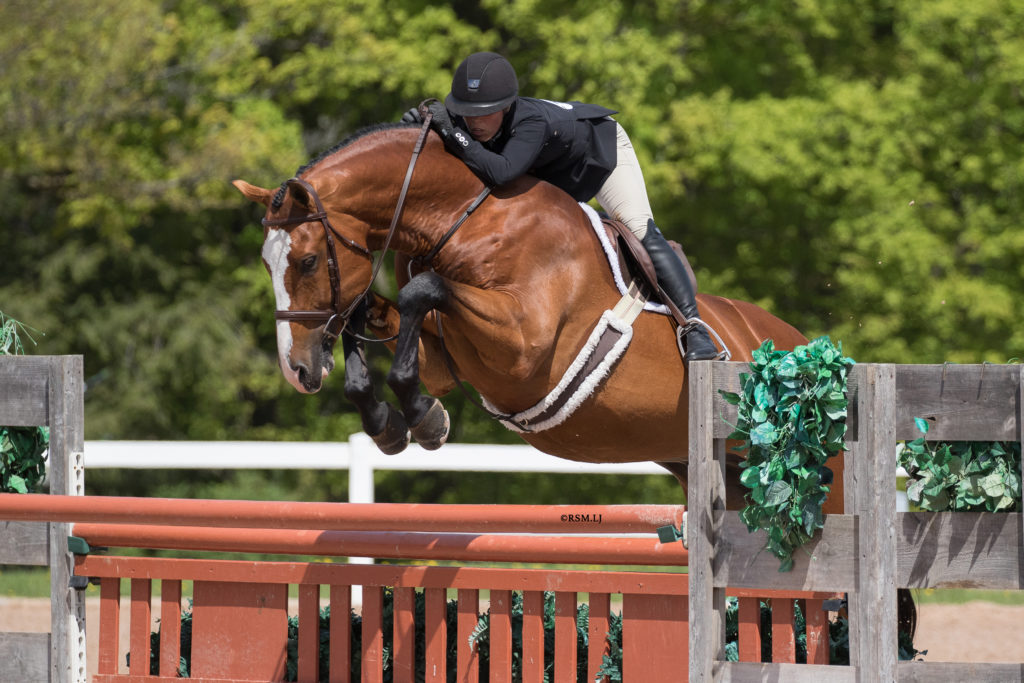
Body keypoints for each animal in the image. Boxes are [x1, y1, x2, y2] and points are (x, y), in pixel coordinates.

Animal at [232, 121, 845, 516]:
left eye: (307, 260)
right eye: (266, 262)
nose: (298, 371)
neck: (467, 219)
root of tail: (815, 351)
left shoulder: (522, 345)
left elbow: (420, 293)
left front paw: (418, 415)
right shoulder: (445, 355)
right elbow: (374, 312)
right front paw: (392, 422)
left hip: (826, 479)